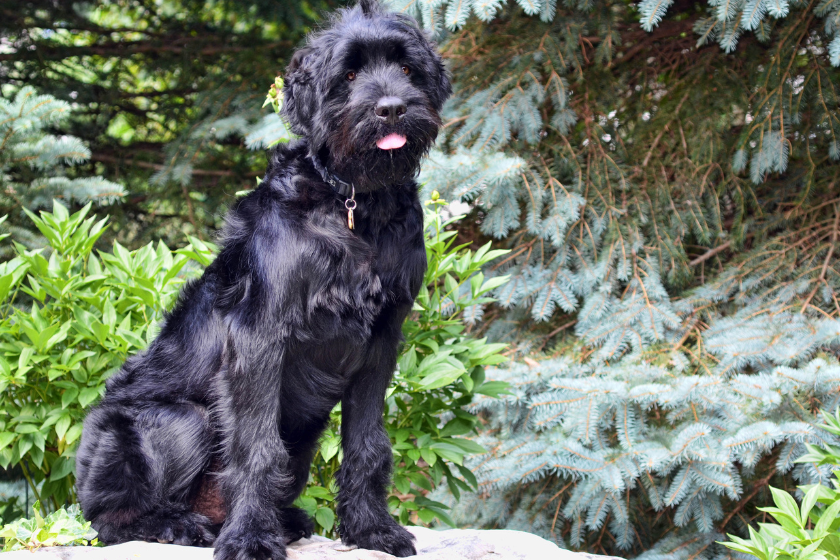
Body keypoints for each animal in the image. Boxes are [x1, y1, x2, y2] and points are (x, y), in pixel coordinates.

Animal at [75, 2, 450, 556]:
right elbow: (255, 446)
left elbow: (367, 444)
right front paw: (251, 538)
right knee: (110, 521)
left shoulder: (382, 339)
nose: (391, 108)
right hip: (177, 421)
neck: (354, 205)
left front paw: (371, 528)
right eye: (349, 74)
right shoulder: (260, 336)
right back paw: (182, 525)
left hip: (305, 432)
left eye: (407, 68)